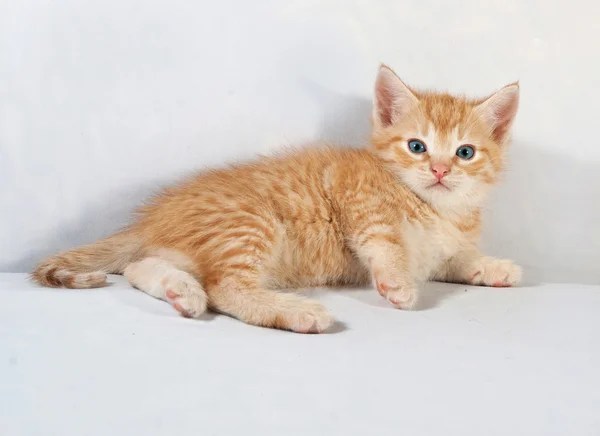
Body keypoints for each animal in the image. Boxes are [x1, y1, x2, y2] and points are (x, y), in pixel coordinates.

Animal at [31, 64, 520, 332]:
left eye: (465, 152)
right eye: (417, 146)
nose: (439, 170)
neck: (439, 209)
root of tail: (152, 218)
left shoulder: (441, 249)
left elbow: (456, 258)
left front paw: (493, 266)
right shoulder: (354, 193)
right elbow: (385, 240)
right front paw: (397, 282)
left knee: (139, 267)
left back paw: (181, 292)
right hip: (250, 222)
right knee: (225, 287)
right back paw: (294, 311)